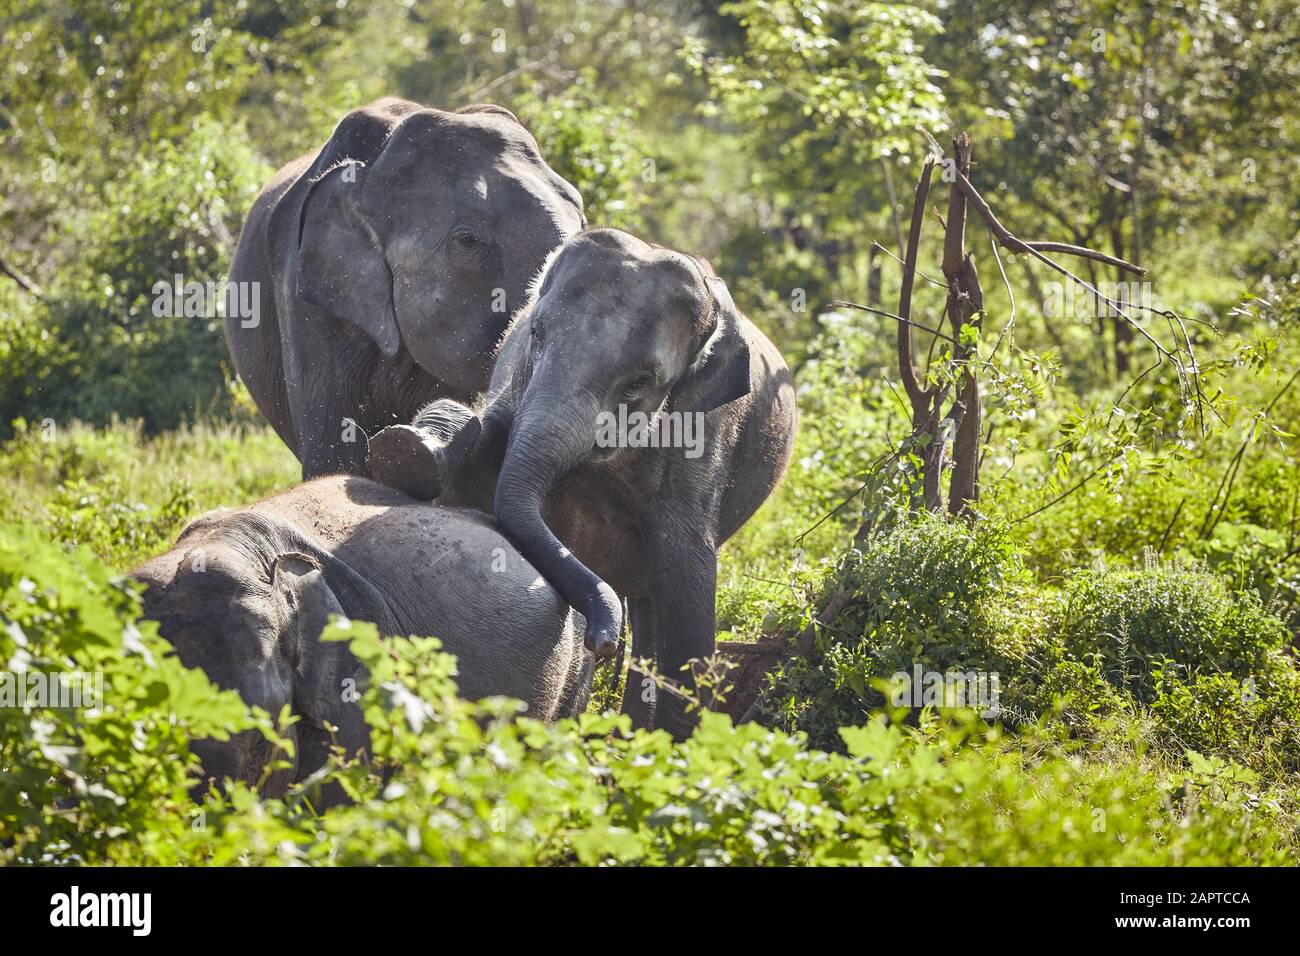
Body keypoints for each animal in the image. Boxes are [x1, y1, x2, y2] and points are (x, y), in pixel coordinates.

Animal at [366, 228, 798, 737]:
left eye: (640, 382)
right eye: (535, 335)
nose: (602, 641)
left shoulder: (702, 439)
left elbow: (687, 581)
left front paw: (671, 747)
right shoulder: (515, 381)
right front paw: (409, 450)